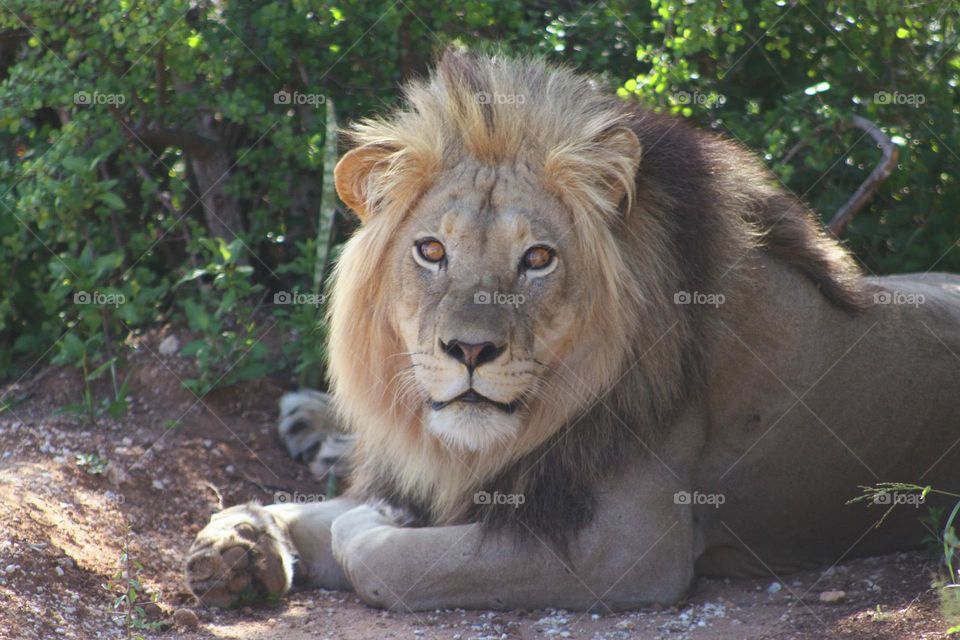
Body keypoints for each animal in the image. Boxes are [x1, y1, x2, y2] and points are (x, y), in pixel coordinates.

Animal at [184, 50, 960, 611]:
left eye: (537, 259)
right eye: (431, 251)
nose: (469, 350)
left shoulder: (627, 550)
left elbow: (383, 555)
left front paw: (369, 524)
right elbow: (309, 511)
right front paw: (239, 544)